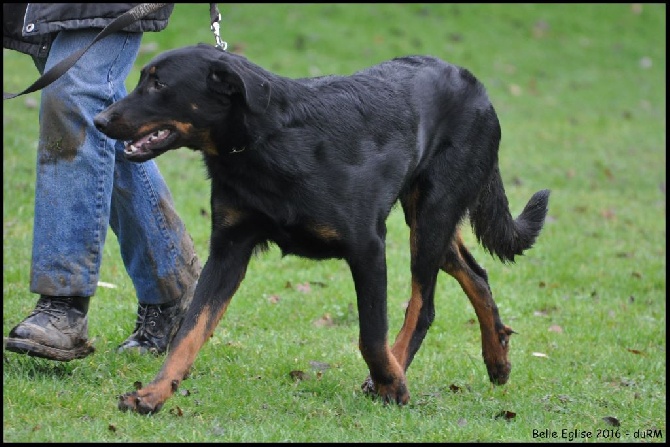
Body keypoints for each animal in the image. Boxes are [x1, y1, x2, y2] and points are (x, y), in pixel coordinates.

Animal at [96, 43, 556, 414]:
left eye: (158, 84)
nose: (99, 120)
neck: (266, 142)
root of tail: (474, 84)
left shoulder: (368, 247)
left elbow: (371, 335)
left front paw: (392, 385)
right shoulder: (228, 250)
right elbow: (189, 331)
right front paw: (153, 394)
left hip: (432, 216)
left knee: (422, 306)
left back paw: (397, 373)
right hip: (428, 219)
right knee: (474, 272)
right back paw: (497, 357)